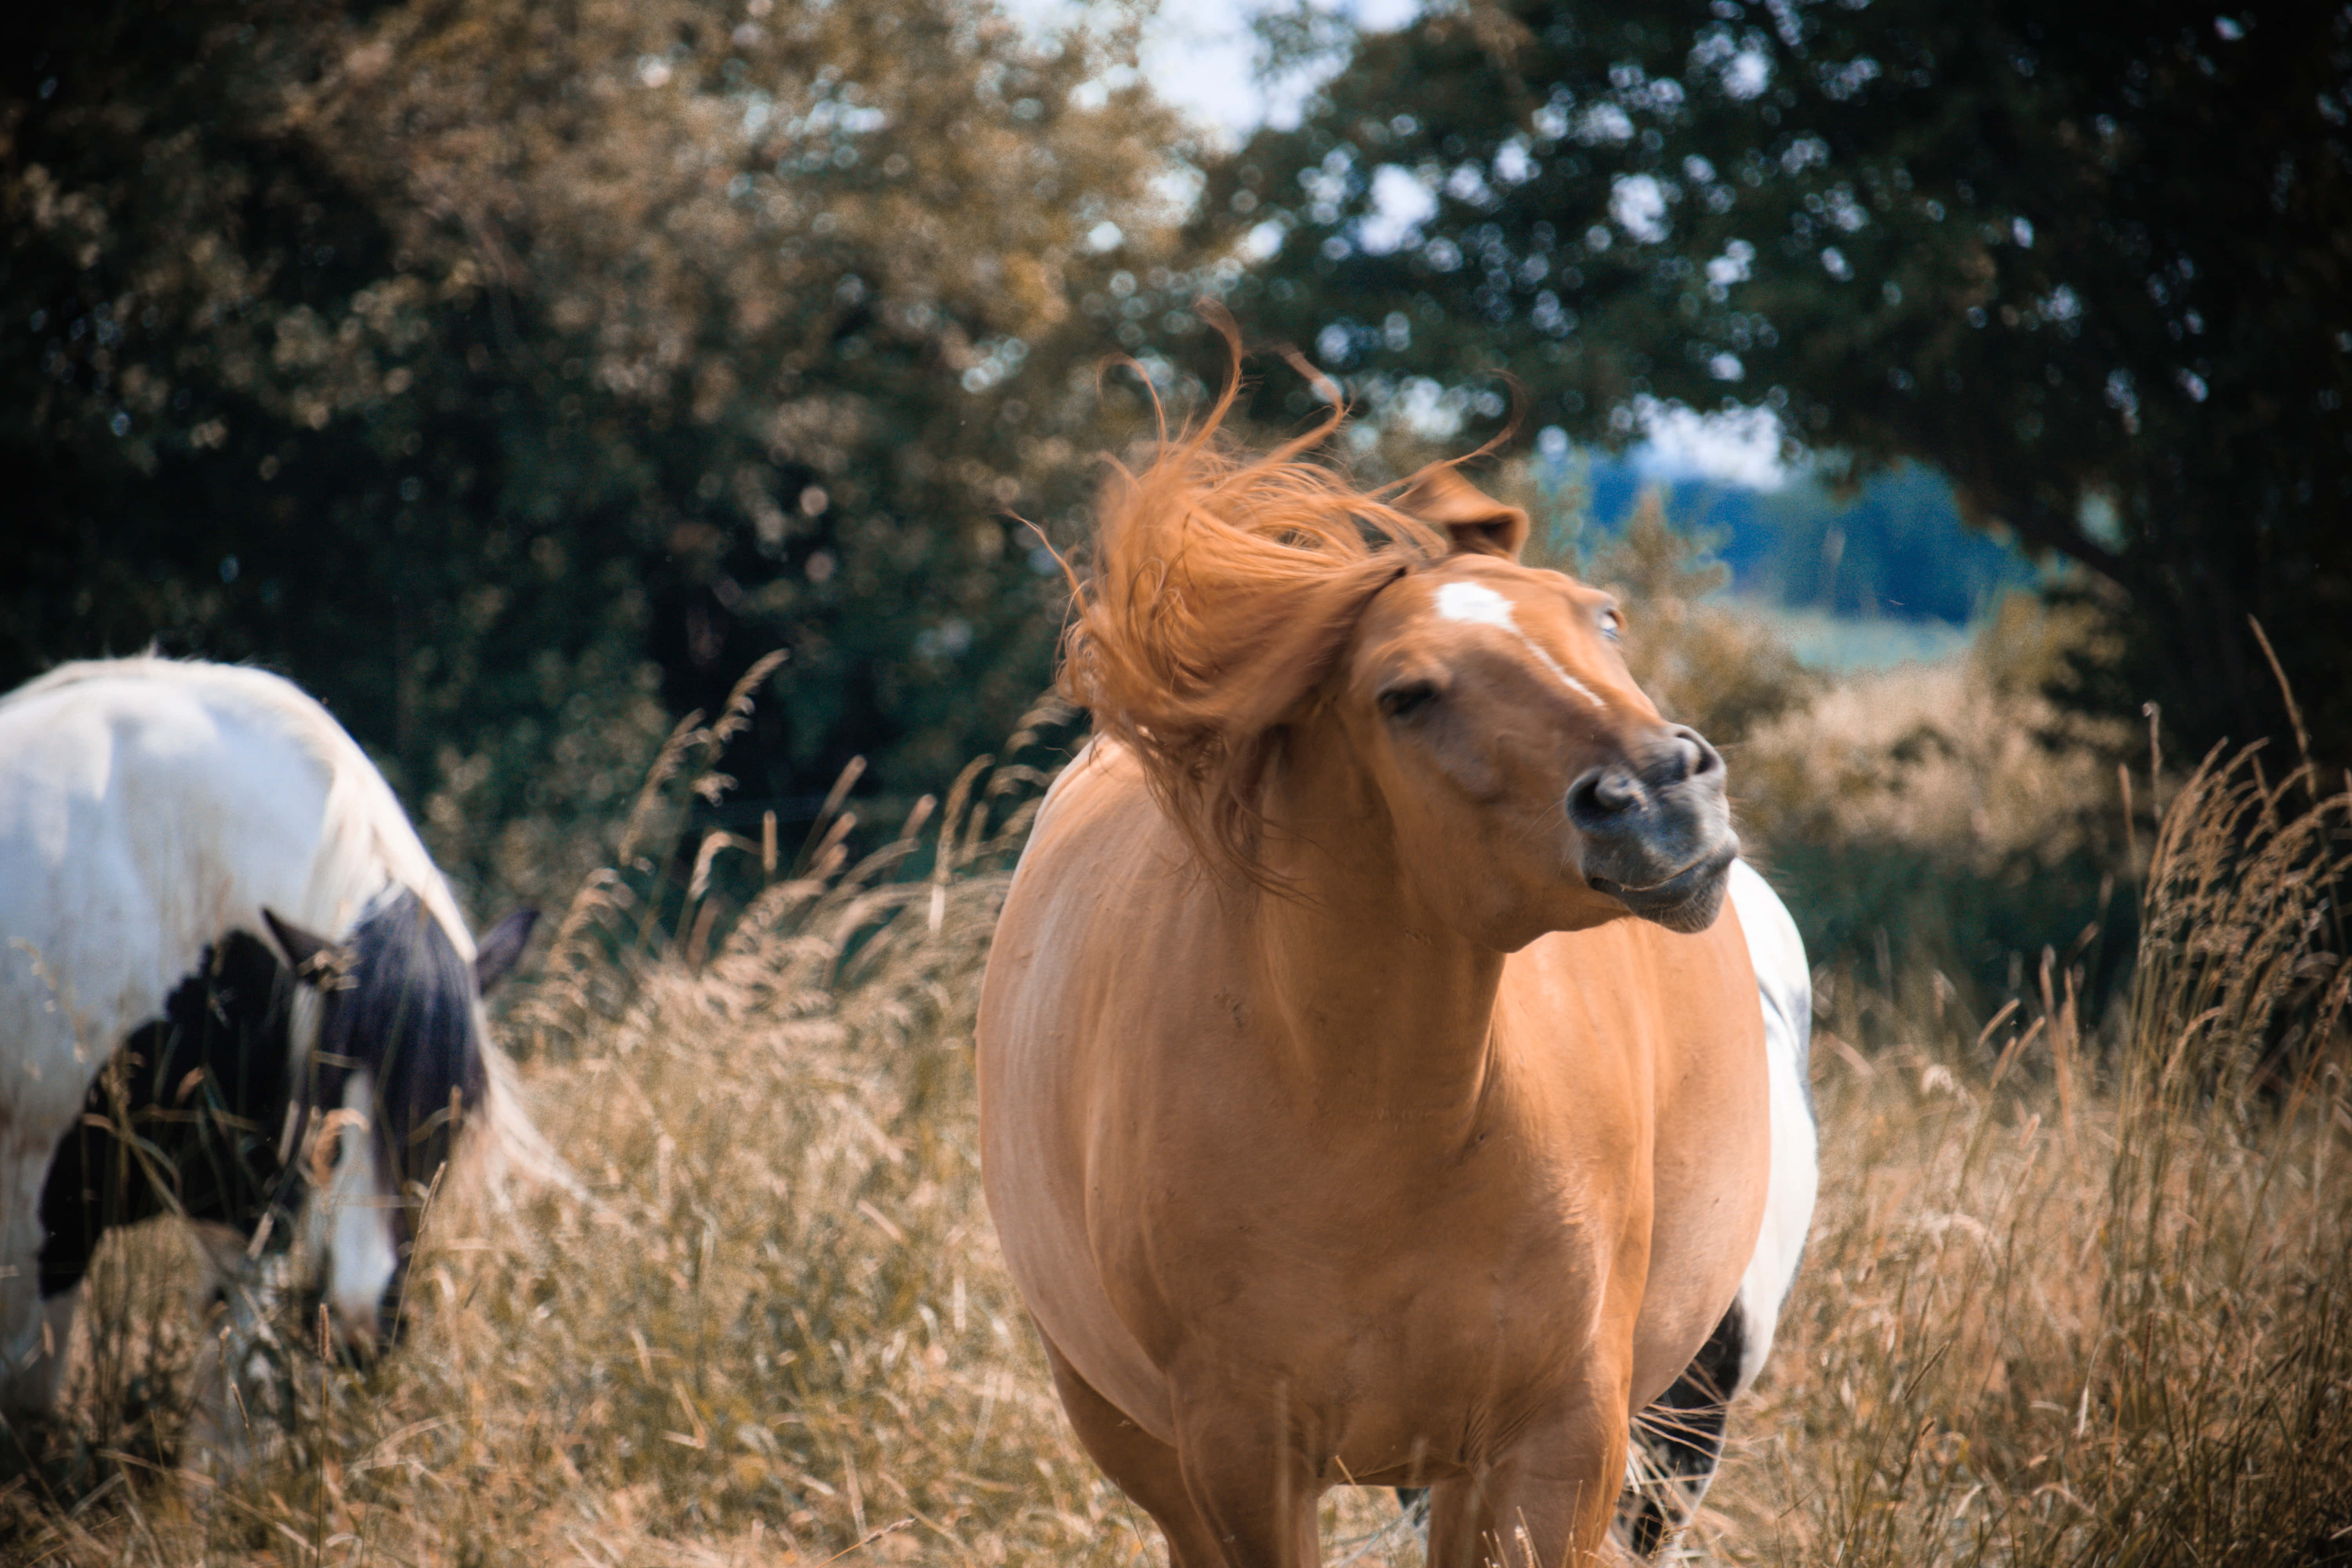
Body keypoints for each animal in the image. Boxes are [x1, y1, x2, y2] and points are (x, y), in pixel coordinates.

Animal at [976, 387, 1816, 1566]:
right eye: (1405, 695)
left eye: (1601, 617)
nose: (1660, 795)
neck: (1386, 1119)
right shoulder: (1244, 1456)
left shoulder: (1560, 1443)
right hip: (1145, 1437)